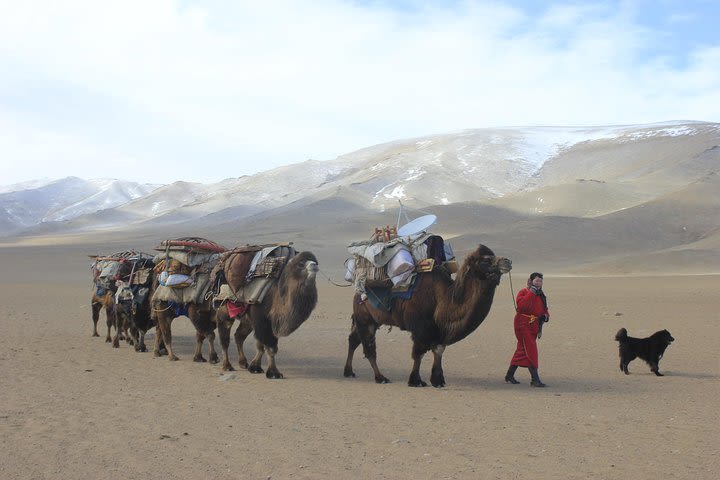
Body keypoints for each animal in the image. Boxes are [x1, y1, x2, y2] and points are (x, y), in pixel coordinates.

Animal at [344, 246, 512, 388]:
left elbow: (438, 350)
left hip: (372, 319)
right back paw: (380, 378)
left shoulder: (437, 330)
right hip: (365, 319)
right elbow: (419, 353)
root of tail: (357, 291)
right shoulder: (420, 328)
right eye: (486, 260)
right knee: (369, 348)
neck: (443, 299)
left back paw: (349, 372)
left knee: (354, 339)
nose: (508, 261)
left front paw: (438, 381)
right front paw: (416, 381)